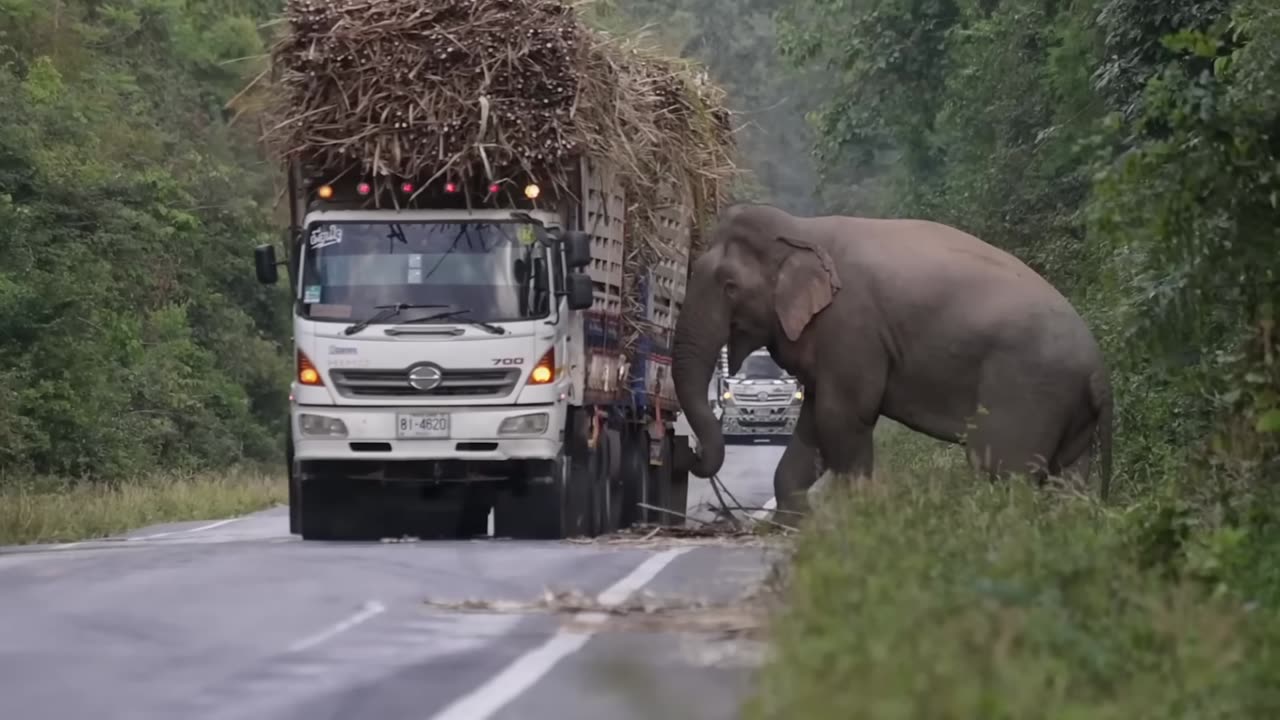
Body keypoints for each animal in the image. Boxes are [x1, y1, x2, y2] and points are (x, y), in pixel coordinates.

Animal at [670, 202, 1111, 515]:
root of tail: (1098, 369)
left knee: (1003, 473)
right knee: (1068, 482)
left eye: (729, 286)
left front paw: (853, 518)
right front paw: (795, 526)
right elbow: (814, 421)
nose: (688, 453)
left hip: (1027, 394)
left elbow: (842, 416)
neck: (801, 229)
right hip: (1070, 415)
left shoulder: (851, 327)